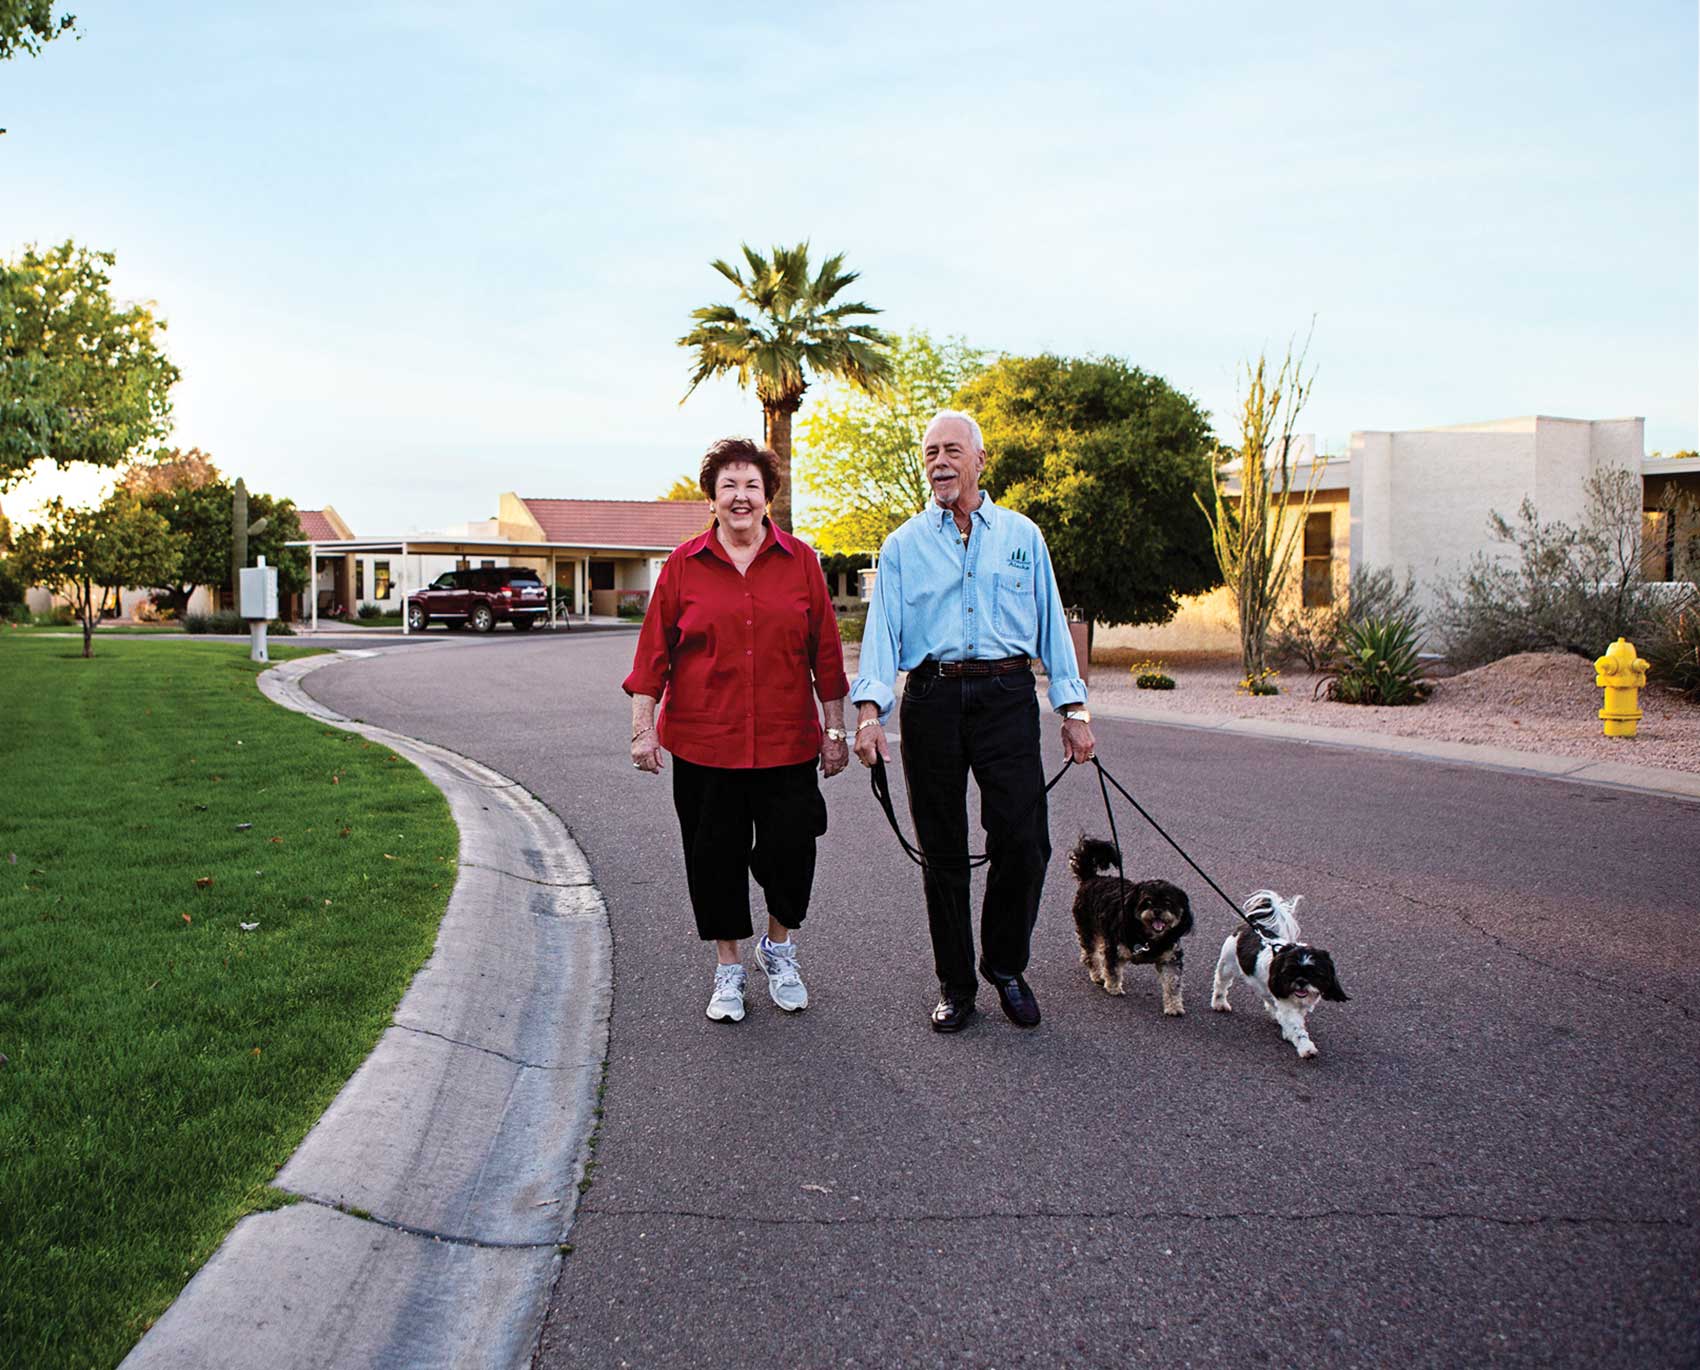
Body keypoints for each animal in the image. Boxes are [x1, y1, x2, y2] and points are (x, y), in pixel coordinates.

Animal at [1060, 836, 1196, 1019]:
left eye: (1168, 903)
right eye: (1147, 902)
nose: (1157, 911)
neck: (1149, 938)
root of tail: (1092, 878)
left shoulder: (1170, 959)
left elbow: (1172, 984)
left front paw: (1174, 1006)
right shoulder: (1114, 948)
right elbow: (1113, 969)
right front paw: (1113, 987)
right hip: (1088, 928)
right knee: (1091, 954)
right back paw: (1097, 974)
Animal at [1210, 890, 1353, 1060]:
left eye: (1314, 973)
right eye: (1290, 971)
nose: (1301, 981)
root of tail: (1253, 925)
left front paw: (1288, 1032)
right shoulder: (1286, 1004)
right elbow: (1297, 1028)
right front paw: (1306, 1047)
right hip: (1228, 964)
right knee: (1221, 984)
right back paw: (1219, 1003)